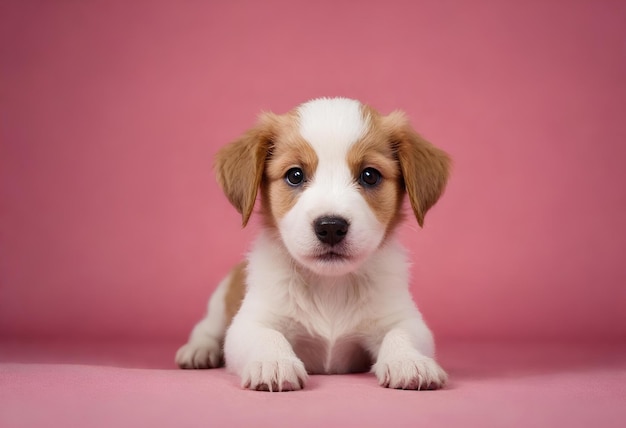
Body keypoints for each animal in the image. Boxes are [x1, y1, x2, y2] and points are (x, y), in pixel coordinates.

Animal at [176, 97, 448, 392]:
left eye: (370, 175)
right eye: (295, 175)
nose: (330, 227)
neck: (330, 285)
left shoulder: (403, 318)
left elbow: (400, 334)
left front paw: (410, 360)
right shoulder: (249, 322)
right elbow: (267, 335)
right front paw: (274, 362)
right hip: (220, 300)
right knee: (206, 328)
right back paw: (199, 350)